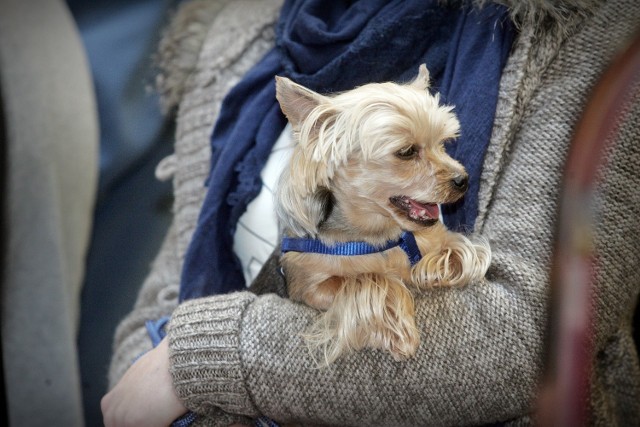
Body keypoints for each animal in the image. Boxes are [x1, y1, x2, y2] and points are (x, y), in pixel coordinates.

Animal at [274, 64, 490, 364]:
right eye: (407, 152)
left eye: (443, 143)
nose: (463, 180)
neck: (376, 235)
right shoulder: (308, 287)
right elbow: (368, 279)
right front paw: (398, 328)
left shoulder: (434, 237)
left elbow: (459, 247)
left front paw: (430, 271)